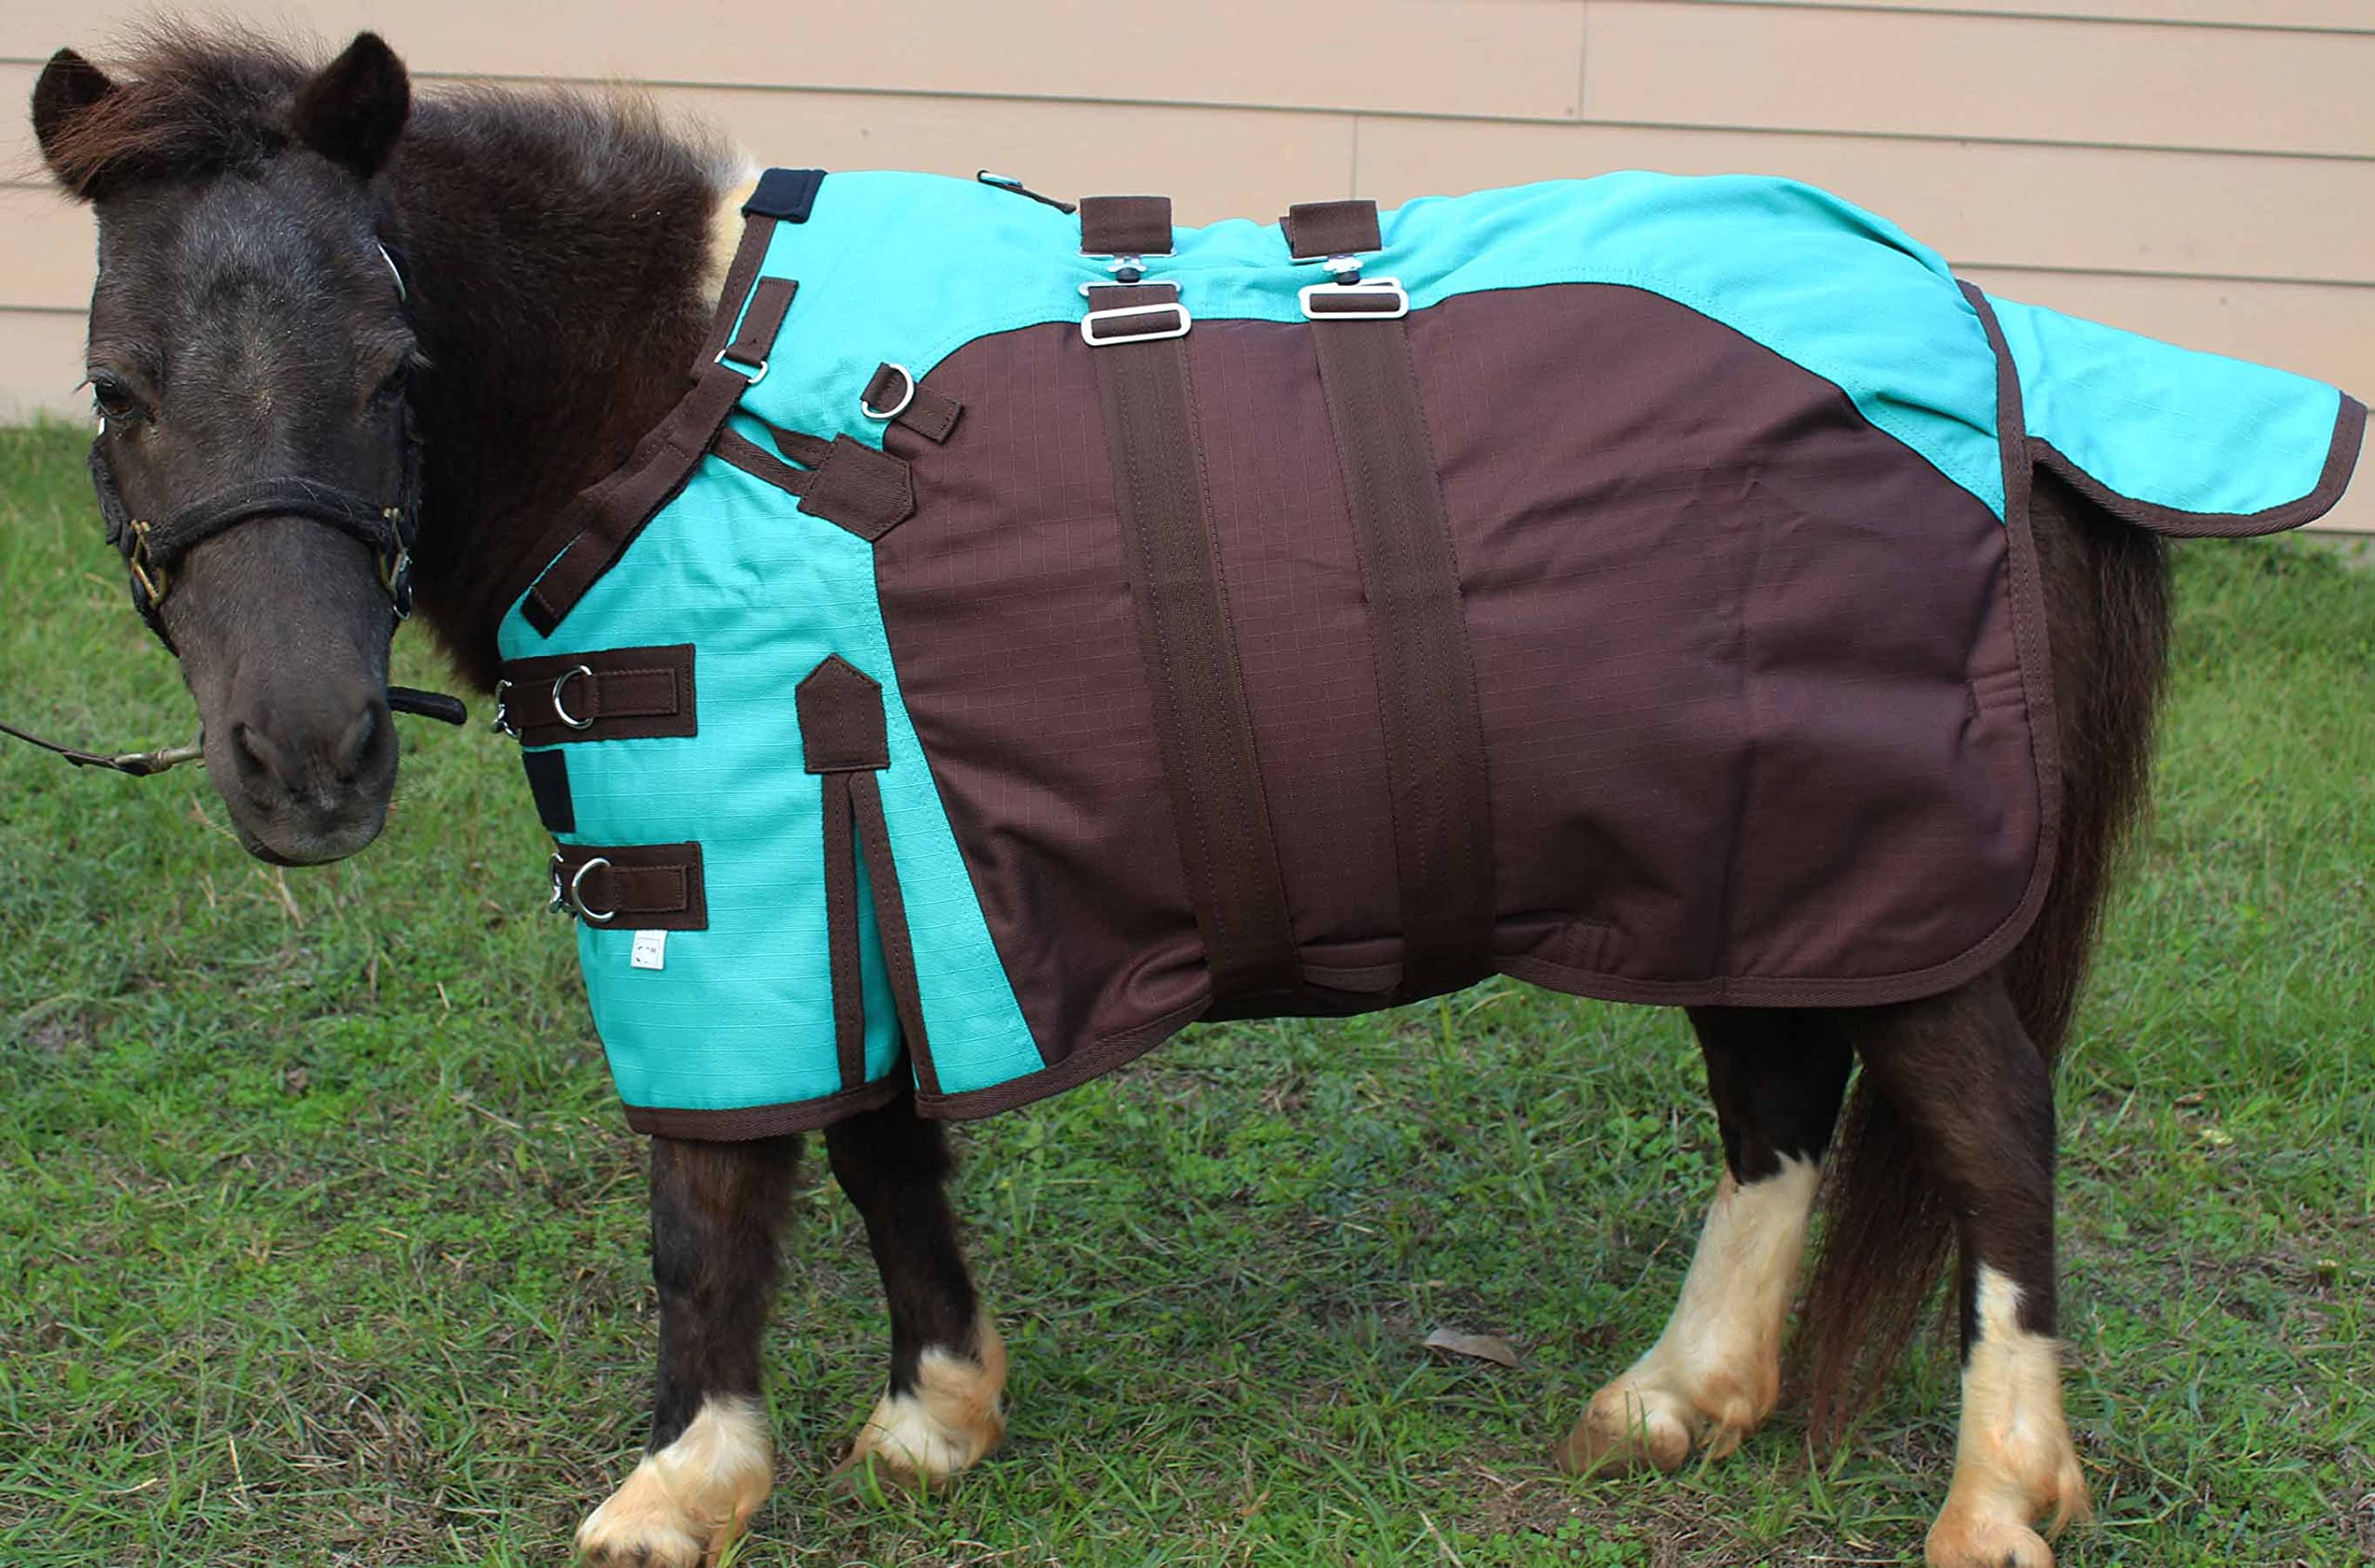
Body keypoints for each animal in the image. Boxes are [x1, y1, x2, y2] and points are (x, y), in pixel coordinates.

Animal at [34, 26, 2317, 1568]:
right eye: (119, 389)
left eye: (396, 371)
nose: (307, 761)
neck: (689, 402)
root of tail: (1989, 330)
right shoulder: (864, 843)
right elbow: (881, 1143)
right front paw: (936, 1415)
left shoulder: (731, 860)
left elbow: (716, 1199)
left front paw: (681, 1478)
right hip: (1745, 850)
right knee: (1776, 1100)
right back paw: (1678, 1397)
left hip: (1885, 856)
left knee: (1987, 1128)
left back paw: (1998, 1487)